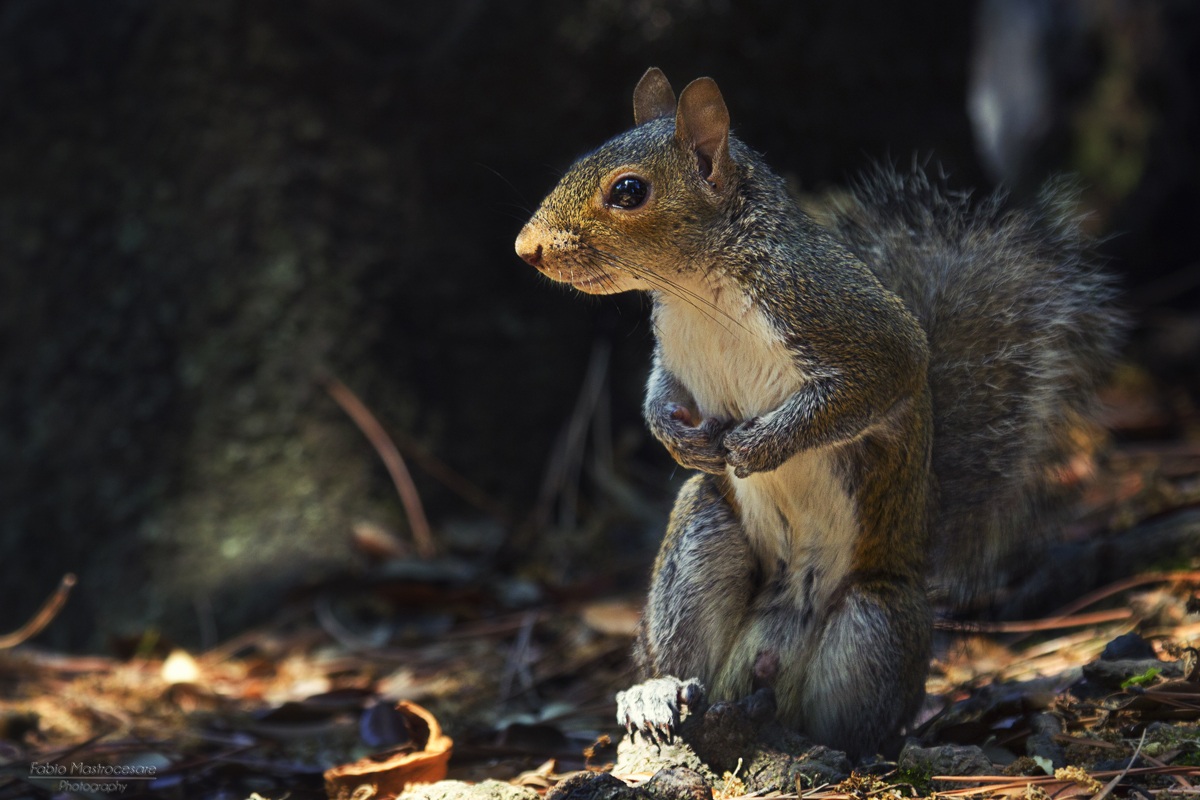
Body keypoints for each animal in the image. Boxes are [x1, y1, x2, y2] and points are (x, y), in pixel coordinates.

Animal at [514, 68, 1122, 760]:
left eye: (629, 191)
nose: (526, 249)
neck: (693, 289)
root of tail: (770, 653)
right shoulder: (675, 358)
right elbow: (660, 392)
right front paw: (676, 437)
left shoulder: (848, 321)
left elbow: (869, 386)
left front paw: (762, 445)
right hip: (704, 538)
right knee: (690, 640)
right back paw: (660, 694)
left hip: (874, 622)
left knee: (848, 721)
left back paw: (813, 740)